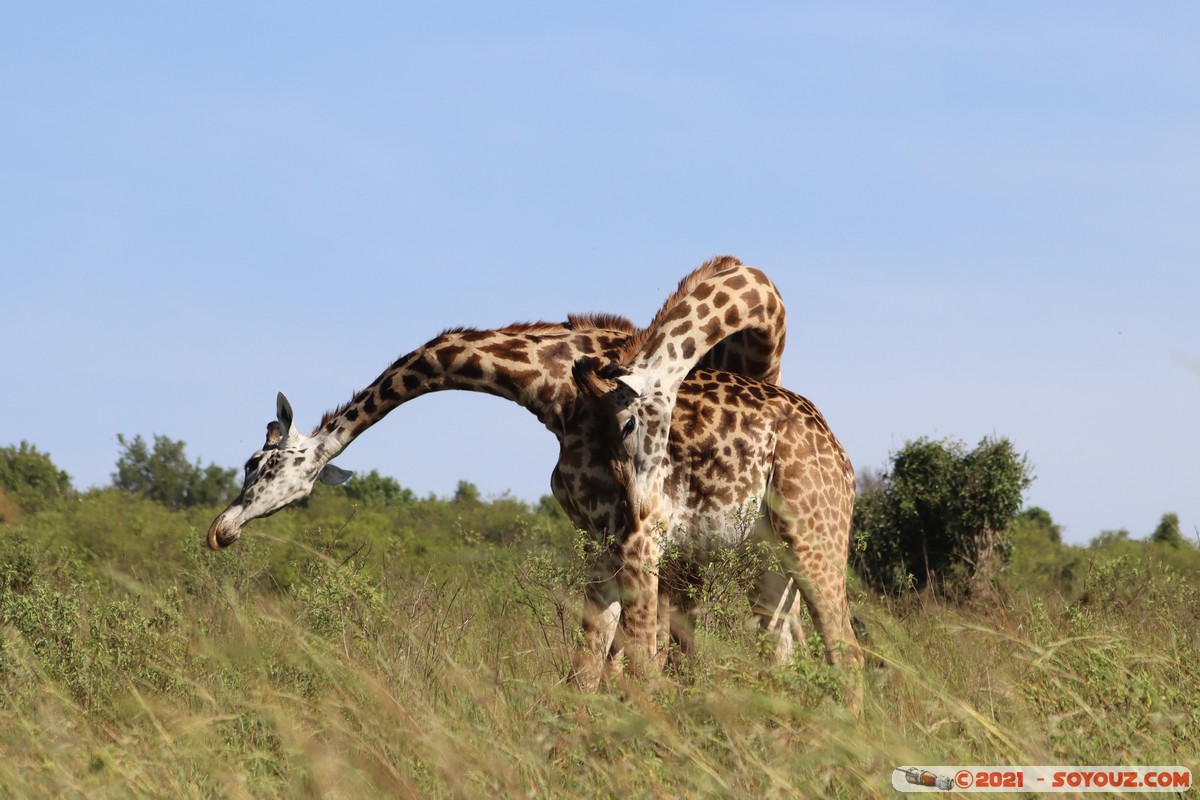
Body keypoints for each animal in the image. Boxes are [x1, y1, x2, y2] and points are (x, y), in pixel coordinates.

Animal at [205, 256, 796, 690]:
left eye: (256, 464)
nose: (220, 531)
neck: (549, 385)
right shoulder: (598, 537)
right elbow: (590, 671)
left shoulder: (633, 536)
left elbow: (632, 662)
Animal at [571, 263, 864, 705]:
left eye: (627, 425)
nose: (635, 510)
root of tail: (845, 467)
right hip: (778, 561)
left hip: (816, 542)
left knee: (846, 654)